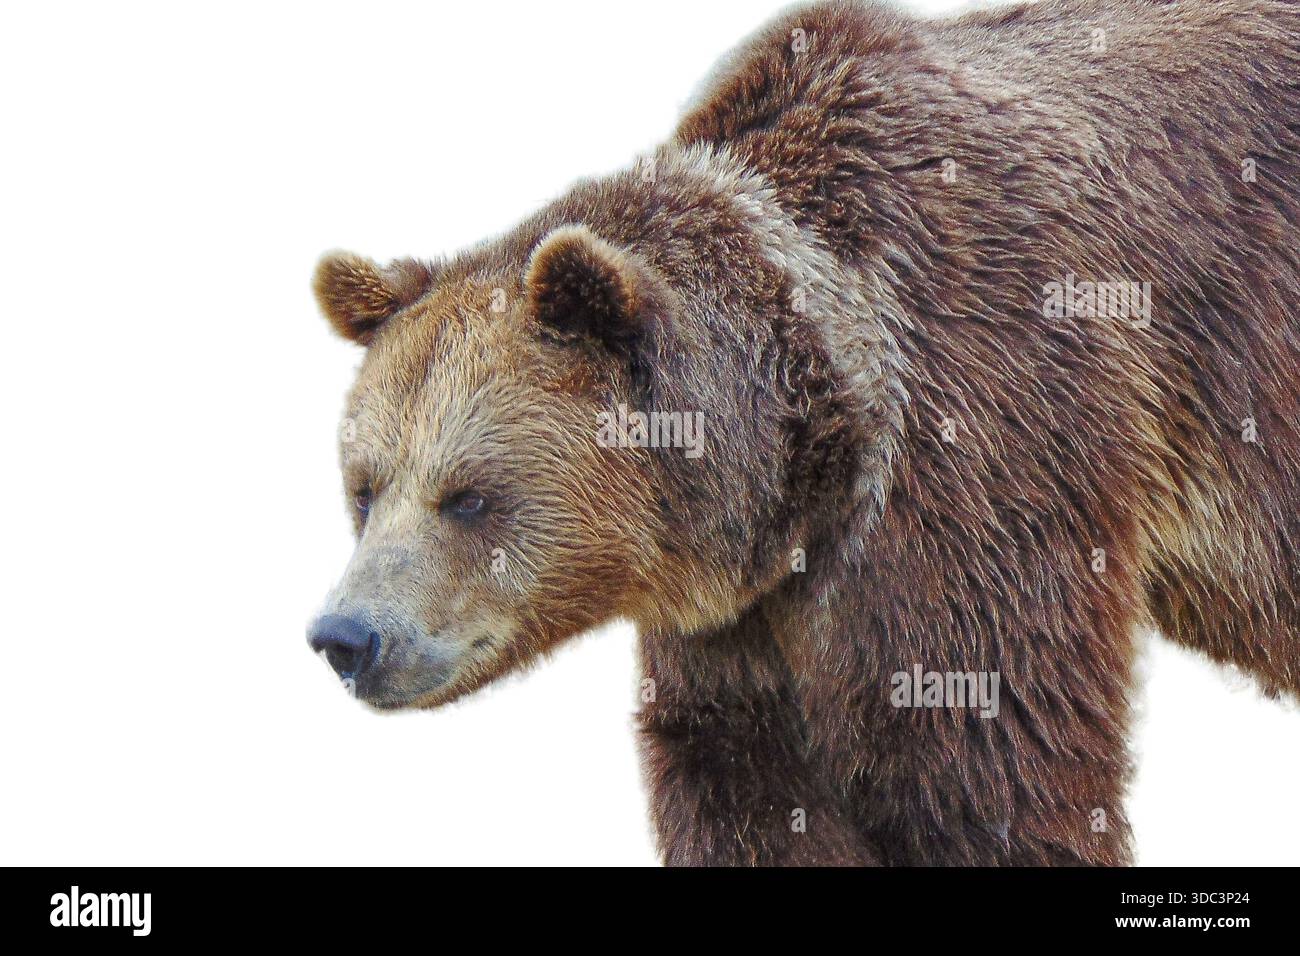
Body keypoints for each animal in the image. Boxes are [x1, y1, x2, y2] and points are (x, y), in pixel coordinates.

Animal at [308, 0, 1300, 866]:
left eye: (469, 496)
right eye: (364, 489)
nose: (347, 637)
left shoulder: (986, 434)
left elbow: (988, 764)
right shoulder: (738, 623)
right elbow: (745, 789)